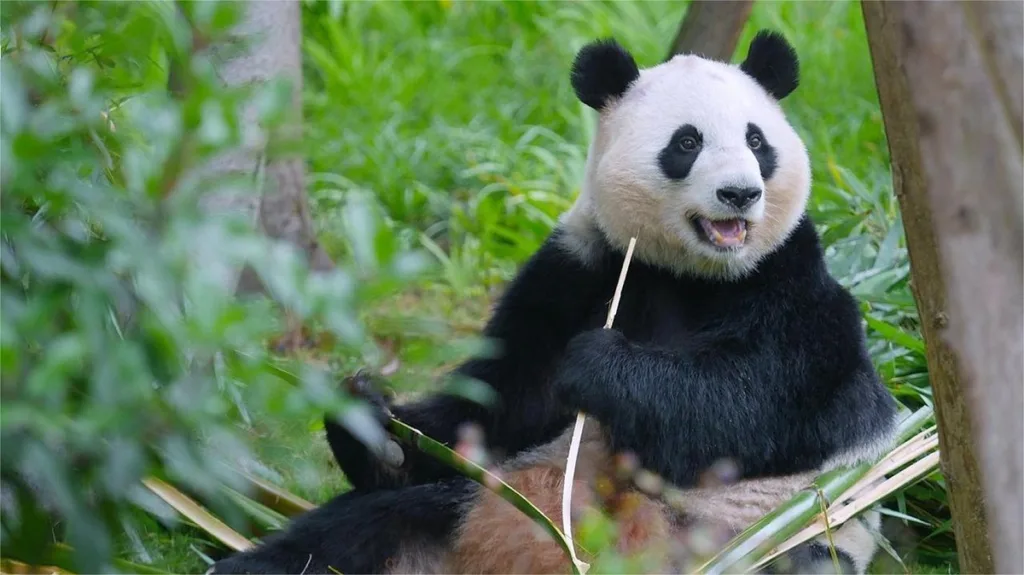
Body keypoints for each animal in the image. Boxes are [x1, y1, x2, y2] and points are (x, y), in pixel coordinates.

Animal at [210, 29, 897, 575]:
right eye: (687, 143)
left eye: (757, 142)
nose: (739, 194)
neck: (690, 273)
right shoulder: (580, 266)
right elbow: (499, 403)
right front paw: (370, 419)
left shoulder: (789, 280)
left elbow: (762, 398)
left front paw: (600, 368)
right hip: (471, 503)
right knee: (349, 532)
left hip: (774, 538)